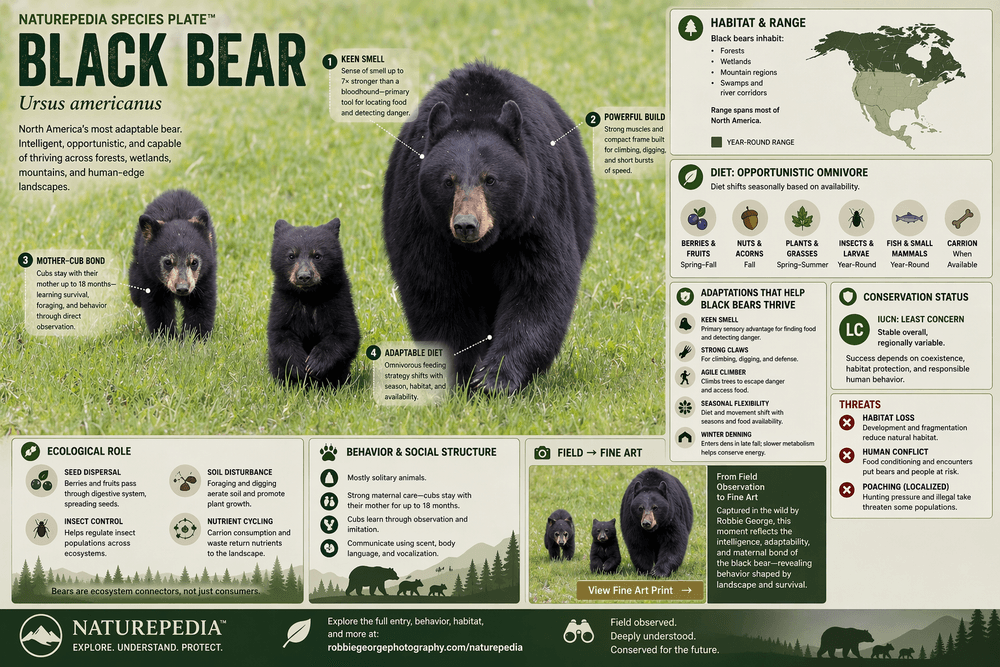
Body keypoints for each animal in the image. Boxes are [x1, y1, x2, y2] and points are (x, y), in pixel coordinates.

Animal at [128, 189, 217, 338]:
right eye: (168, 262)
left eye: (194, 262)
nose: (182, 288)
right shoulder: (150, 278)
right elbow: (157, 307)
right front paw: (165, 337)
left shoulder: (205, 275)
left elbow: (201, 305)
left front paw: (195, 338)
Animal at [267, 218, 360, 386]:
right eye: (291, 255)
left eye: (317, 256)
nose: (304, 276)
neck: (309, 297)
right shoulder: (283, 303)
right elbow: (280, 334)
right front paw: (299, 366)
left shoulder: (339, 300)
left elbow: (345, 334)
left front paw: (315, 364)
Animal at [382, 62, 596, 394]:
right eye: (448, 181)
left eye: (490, 179)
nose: (466, 225)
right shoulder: (423, 222)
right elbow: (439, 290)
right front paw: (463, 373)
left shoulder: (534, 215)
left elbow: (538, 285)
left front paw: (496, 377)